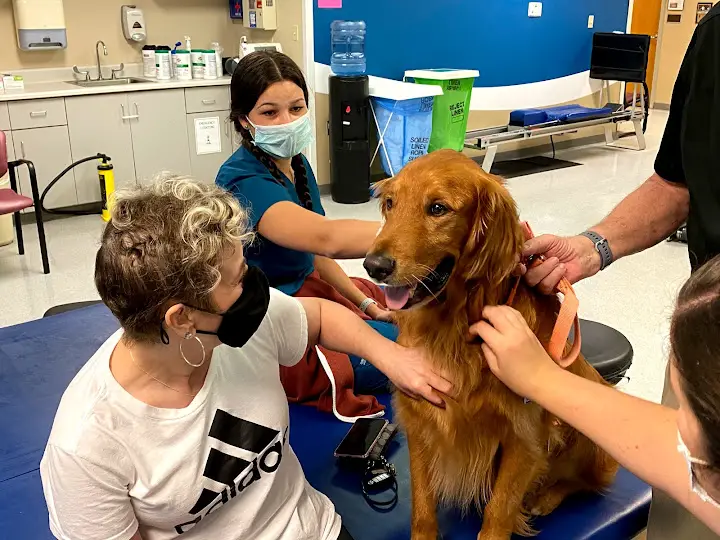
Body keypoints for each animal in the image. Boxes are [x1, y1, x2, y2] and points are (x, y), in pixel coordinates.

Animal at [366, 150, 620, 536]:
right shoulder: (419, 419)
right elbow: (422, 503)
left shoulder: (523, 437)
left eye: (438, 208)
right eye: (391, 203)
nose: (373, 266)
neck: (454, 328)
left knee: (584, 482)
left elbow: (498, 511)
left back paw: (546, 497)